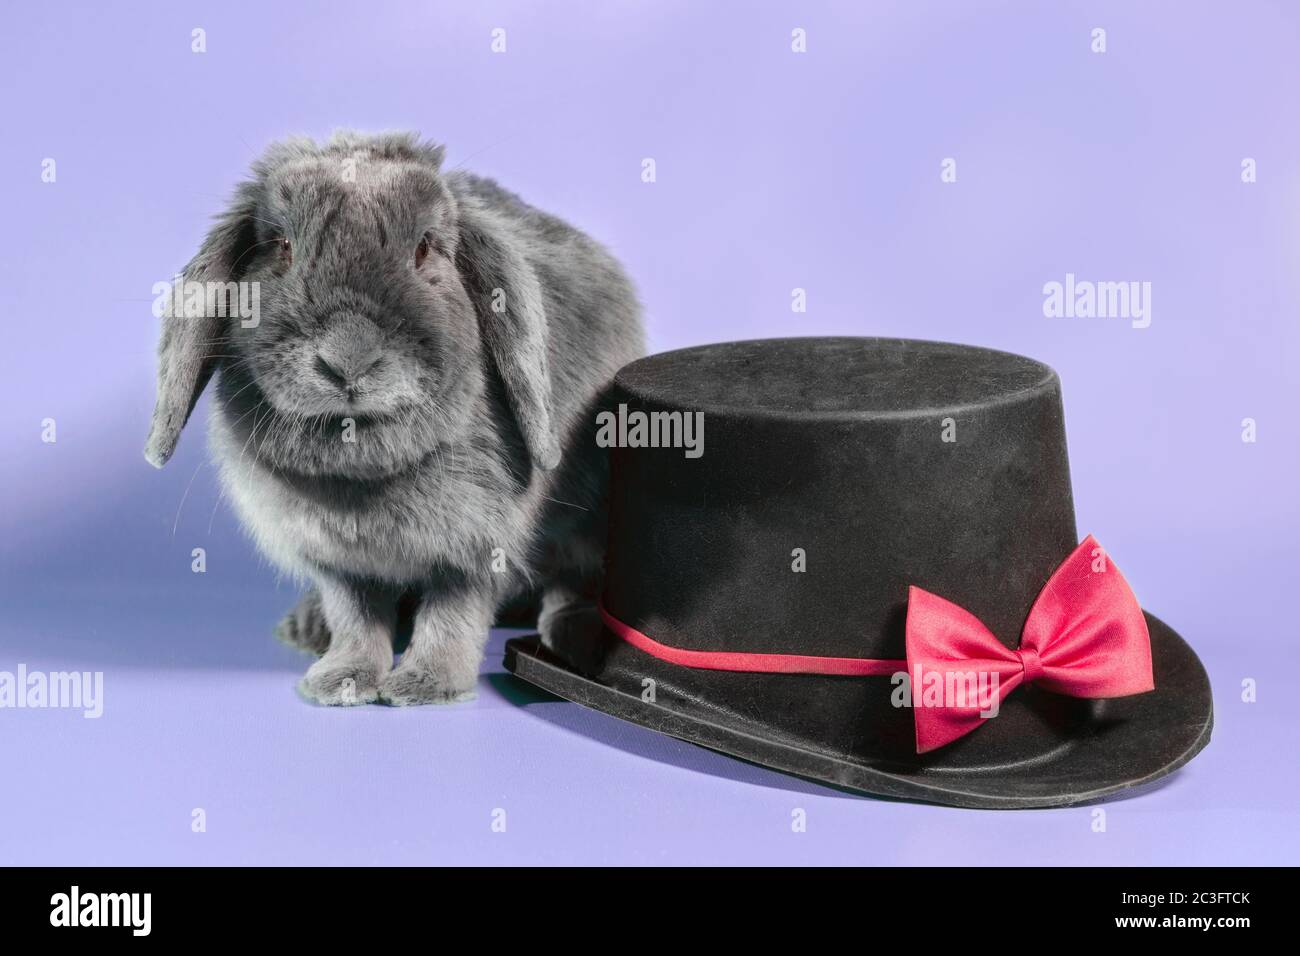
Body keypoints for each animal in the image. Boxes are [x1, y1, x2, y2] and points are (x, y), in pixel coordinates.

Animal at [144, 130, 642, 707]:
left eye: (424, 246)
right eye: (282, 247)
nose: (348, 360)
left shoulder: (476, 549)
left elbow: (453, 615)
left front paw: (427, 685)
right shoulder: (338, 561)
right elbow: (355, 617)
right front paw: (342, 680)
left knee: (573, 578)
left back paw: (571, 633)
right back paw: (307, 628)